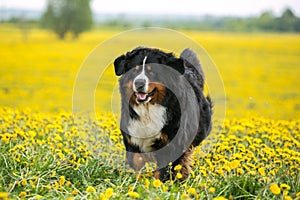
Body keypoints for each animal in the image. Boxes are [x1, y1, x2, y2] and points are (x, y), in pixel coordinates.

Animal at [113, 46, 212, 181]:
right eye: (134, 71)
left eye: (152, 72)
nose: (139, 83)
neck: (148, 109)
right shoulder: (132, 134)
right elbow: (135, 159)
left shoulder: (172, 143)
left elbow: (164, 170)